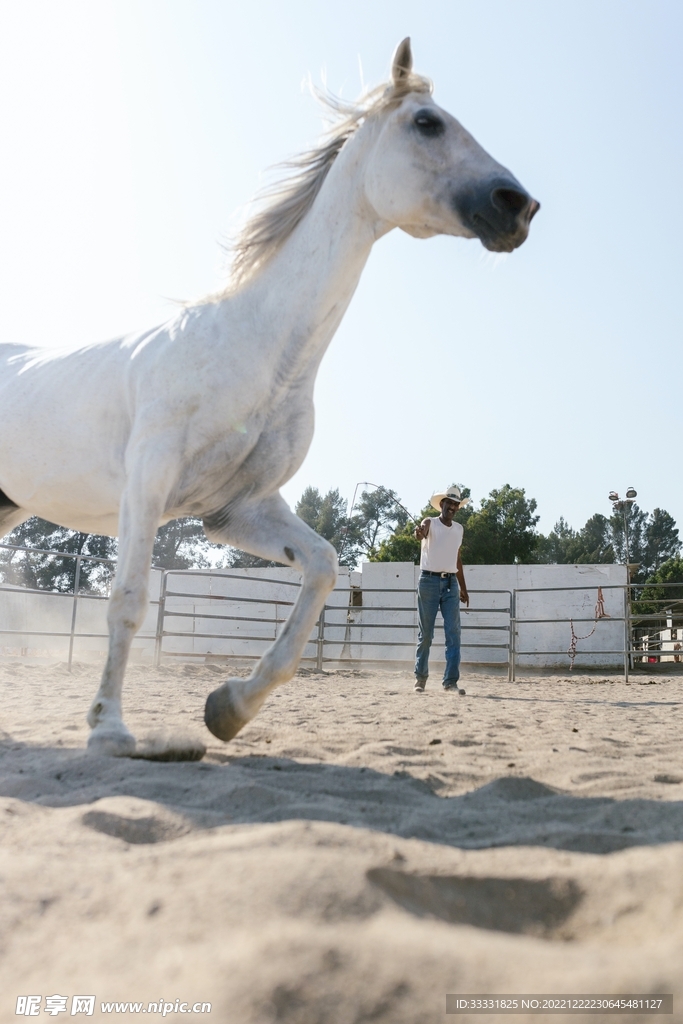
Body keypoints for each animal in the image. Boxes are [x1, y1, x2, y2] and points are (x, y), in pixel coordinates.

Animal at [0, 39, 539, 756]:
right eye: (427, 122)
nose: (518, 205)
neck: (257, 349)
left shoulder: (239, 509)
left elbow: (323, 570)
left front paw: (228, 708)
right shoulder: (147, 484)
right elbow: (130, 599)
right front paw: (110, 730)